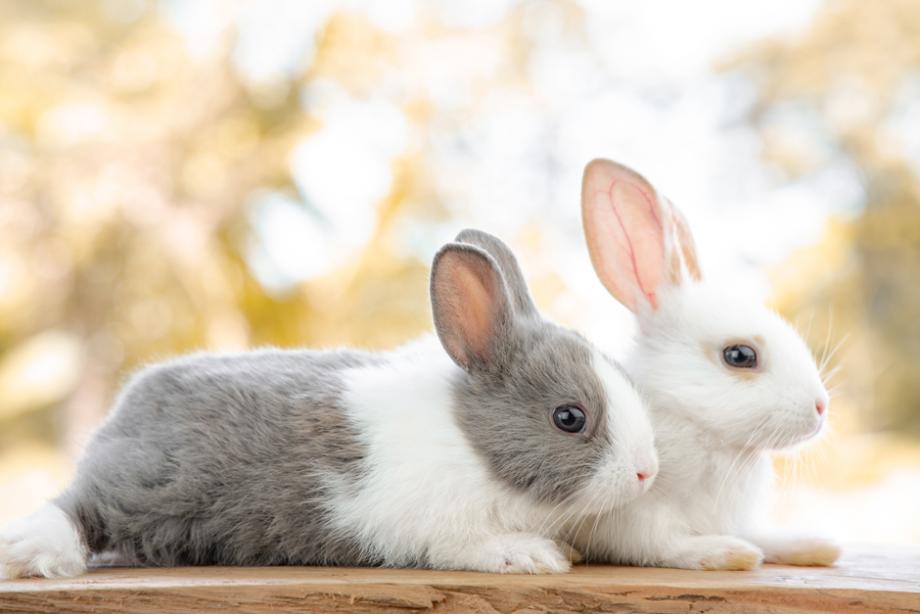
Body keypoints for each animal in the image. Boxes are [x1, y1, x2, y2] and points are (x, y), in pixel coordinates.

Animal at [1, 232, 660, 584]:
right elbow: (470, 546)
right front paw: (533, 556)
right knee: (76, 507)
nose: (646, 473)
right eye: (569, 417)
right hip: (143, 486)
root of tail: (123, 413)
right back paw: (38, 554)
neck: (472, 445)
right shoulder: (433, 526)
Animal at [572, 160, 844, 572]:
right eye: (740, 355)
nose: (820, 407)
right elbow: (663, 546)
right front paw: (731, 553)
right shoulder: (634, 518)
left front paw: (815, 546)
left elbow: (762, 536)